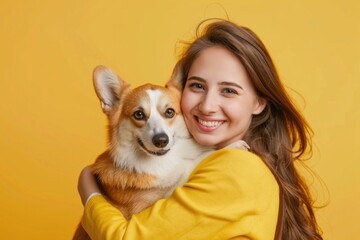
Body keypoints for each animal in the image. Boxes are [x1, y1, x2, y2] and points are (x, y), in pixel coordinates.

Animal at [72, 65, 248, 240]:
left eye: (170, 112)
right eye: (139, 114)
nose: (161, 140)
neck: (162, 161)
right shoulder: (145, 209)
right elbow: (186, 171)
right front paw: (231, 145)